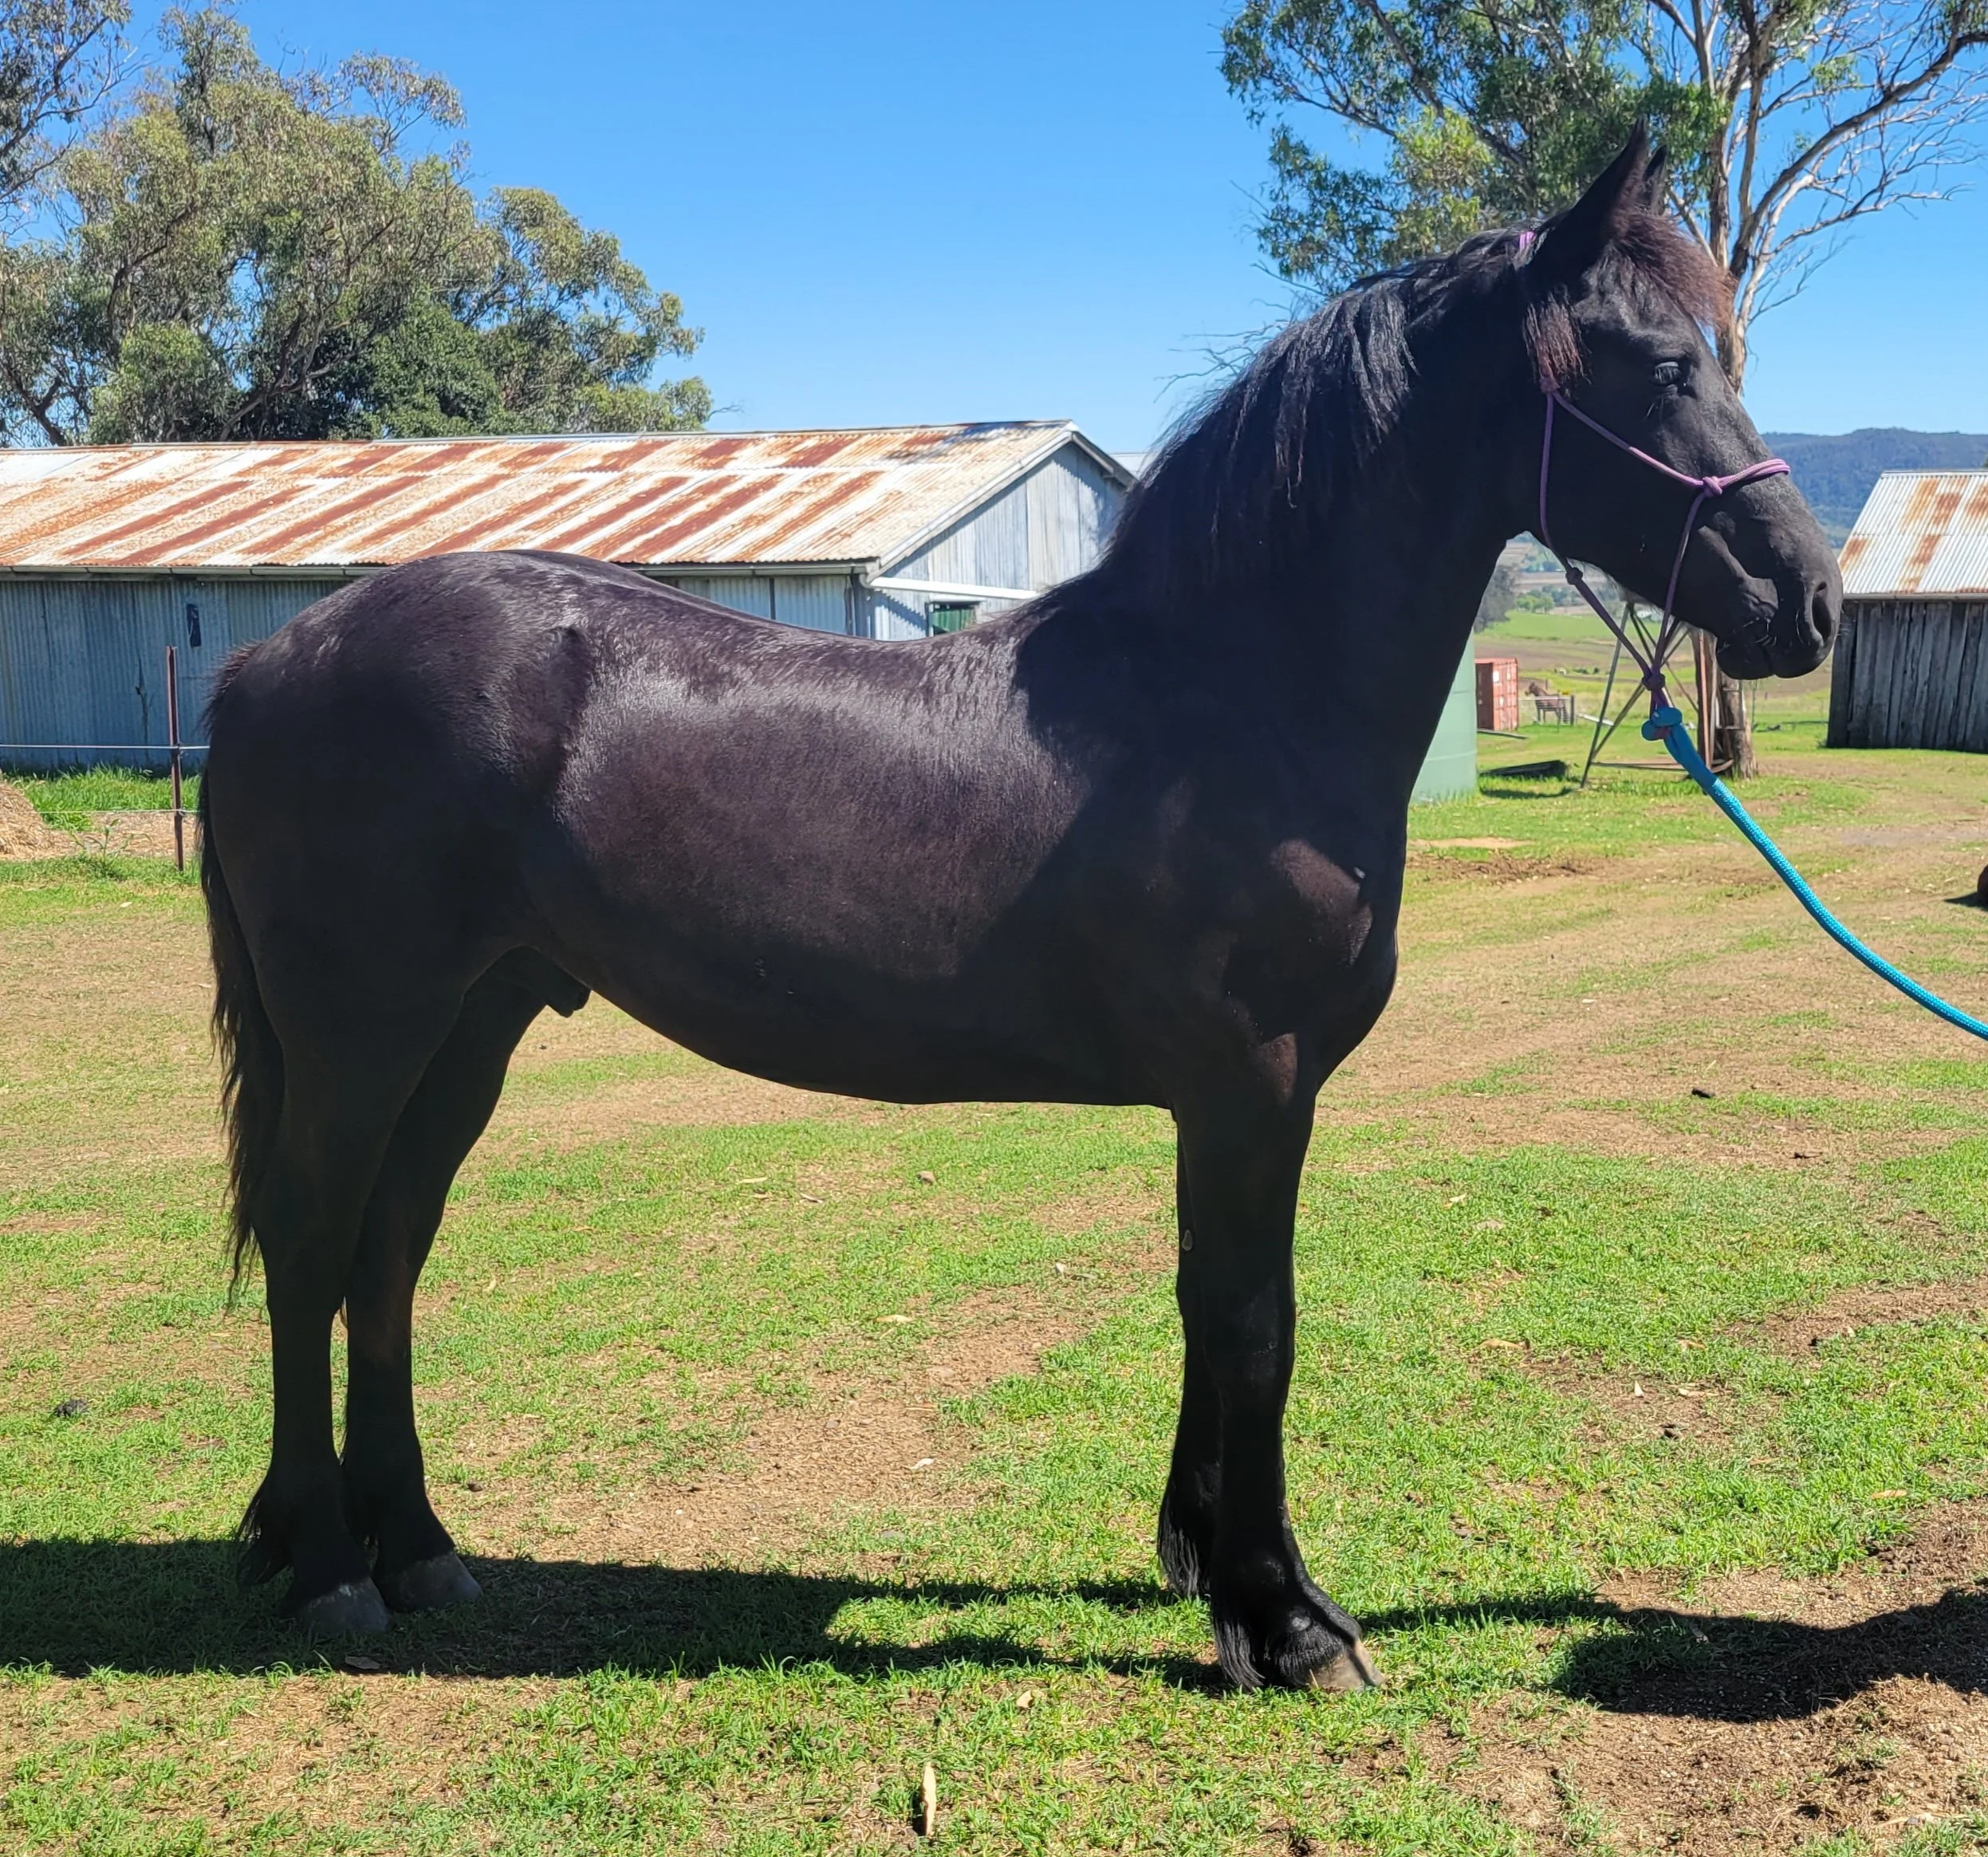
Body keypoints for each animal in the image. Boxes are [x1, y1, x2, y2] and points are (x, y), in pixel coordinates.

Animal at [198, 131, 1839, 1691]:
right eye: (1660, 365)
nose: (1808, 601)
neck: (1229, 697)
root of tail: (271, 659)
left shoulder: (1224, 1103)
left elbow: (1200, 1303)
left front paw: (1197, 1561)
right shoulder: (1253, 1086)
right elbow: (1256, 1324)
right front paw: (1285, 1619)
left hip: (470, 1024)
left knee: (388, 1252)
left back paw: (418, 1547)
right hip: (363, 1031)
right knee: (311, 1241)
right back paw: (333, 1566)